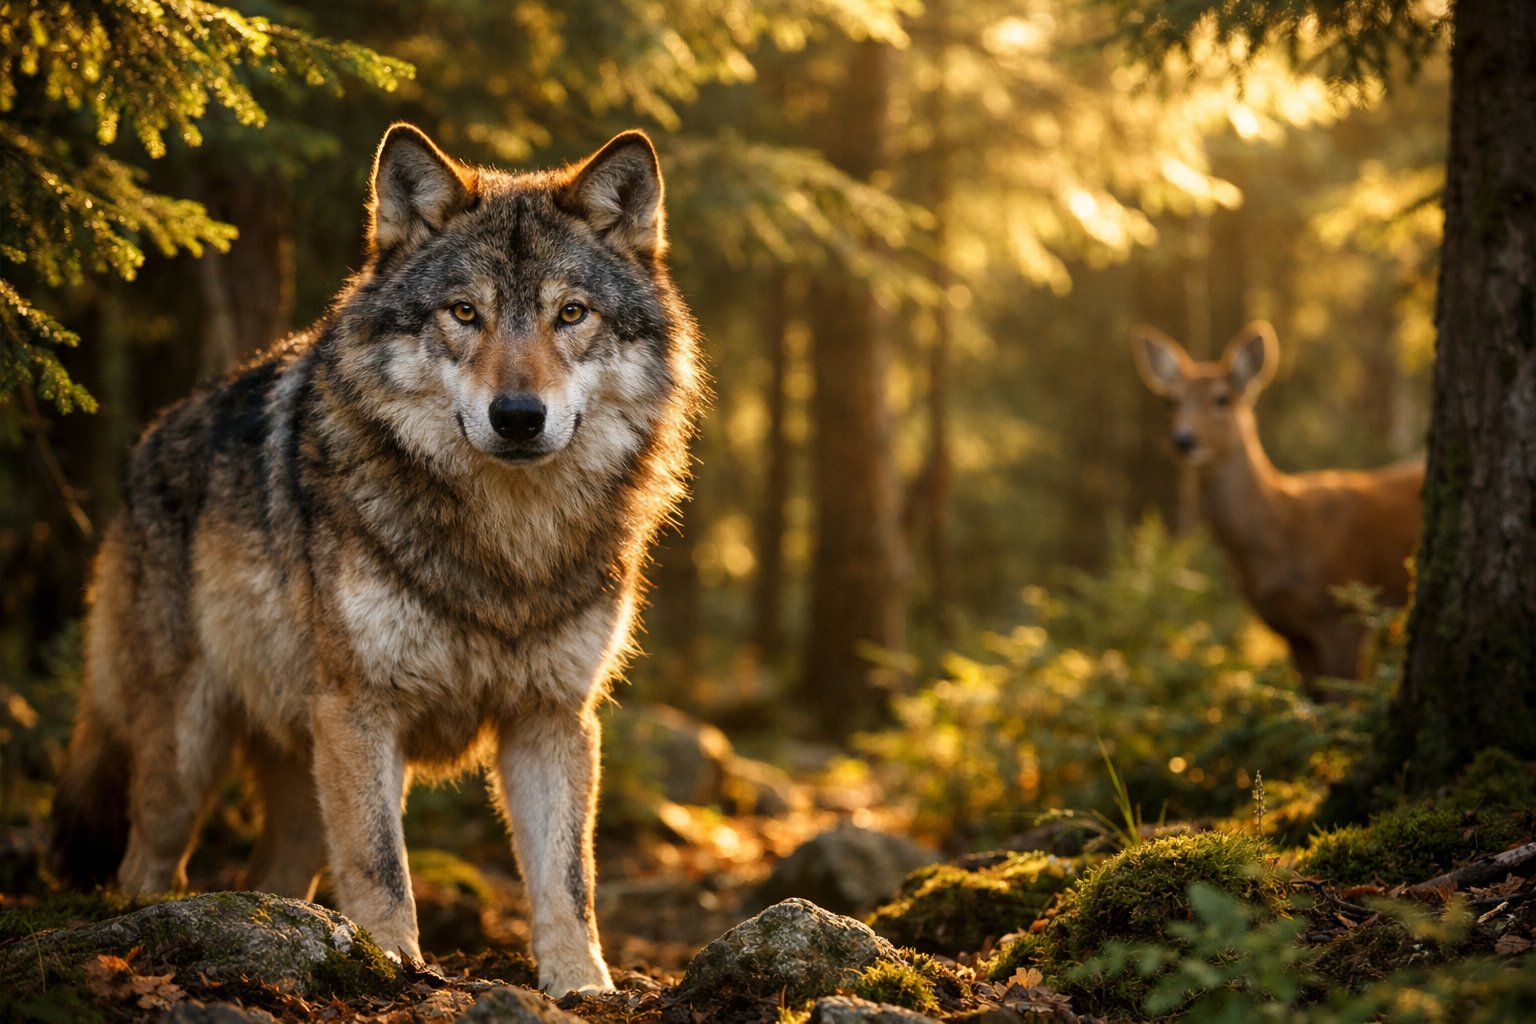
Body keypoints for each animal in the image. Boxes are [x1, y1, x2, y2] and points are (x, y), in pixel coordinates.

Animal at [49, 123, 705, 993]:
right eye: (464, 312)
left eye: (572, 313)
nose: (518, 416)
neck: (505, 545)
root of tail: (146, 443)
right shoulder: (363, 708)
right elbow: (379, 862)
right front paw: (392, 961)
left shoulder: (551, 717)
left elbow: (569, 879)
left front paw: (580, 984)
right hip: (187, 755)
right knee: (147, 861)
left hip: (301, 771)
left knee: (272, 874)